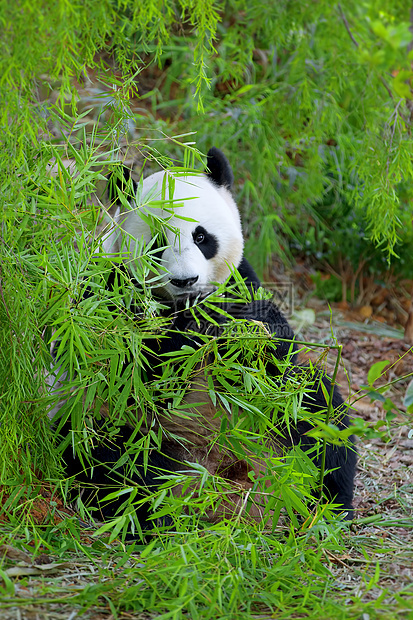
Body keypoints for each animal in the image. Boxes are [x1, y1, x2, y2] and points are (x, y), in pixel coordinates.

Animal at [56, 148, 356, 532]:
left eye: (201, 237)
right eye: (157, 244)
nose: (186, 281)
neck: (187, 306)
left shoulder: (241, 284)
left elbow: (272, 348)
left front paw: (239, 340)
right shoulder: (112, 292)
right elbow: (142, 374)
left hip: (283, 425)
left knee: (321, 420)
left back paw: (327, 506)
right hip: (117, 424)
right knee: (108, 458)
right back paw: (155, 512)